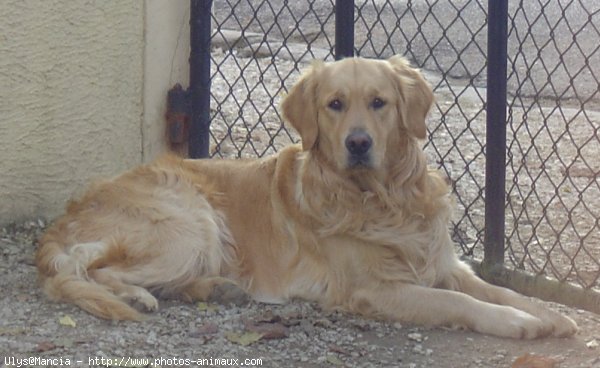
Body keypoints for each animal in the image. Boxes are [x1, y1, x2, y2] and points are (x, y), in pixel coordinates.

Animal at [35, 55, 580, 340]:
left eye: (379, 103)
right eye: (334, 105)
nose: (358, 143)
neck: (382, 199)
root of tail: (68, 214)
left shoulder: (444, 262)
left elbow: (500, 289)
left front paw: (553, 315)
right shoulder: (374, 289)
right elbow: (458, 302)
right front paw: (519, 324)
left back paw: (215, 288)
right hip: (189, 223)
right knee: (86, 273)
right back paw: (134, 296)